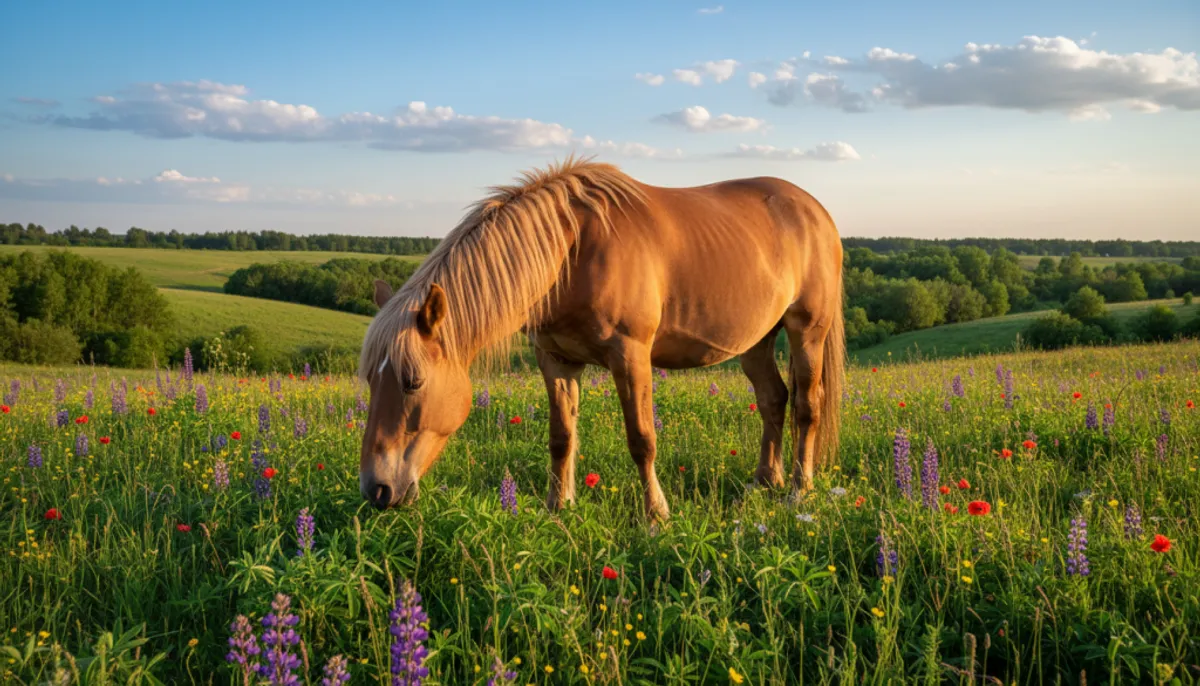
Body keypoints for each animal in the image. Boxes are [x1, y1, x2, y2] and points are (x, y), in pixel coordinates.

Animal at [357, 155, 845, 522]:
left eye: (413, 381)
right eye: (370, 381)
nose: (376, 489)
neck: (571, 252)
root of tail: (817, 211)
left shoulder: (630, 356)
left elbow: (642, 439)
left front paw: (656, 515)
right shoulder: (554, 359)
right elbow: (561, 437)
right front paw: (559, 505)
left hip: (807, 332)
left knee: (807, 407)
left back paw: (798, 490)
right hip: (756, 342)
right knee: (773, 399)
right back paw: (764, 481)